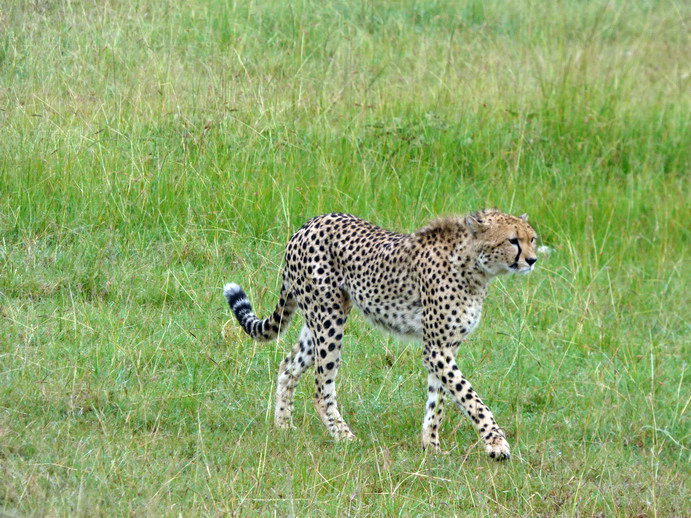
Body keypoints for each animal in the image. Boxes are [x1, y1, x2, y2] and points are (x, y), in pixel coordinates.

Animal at [224, 209, 539, 460]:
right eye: (512, 240)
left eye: (532, 239)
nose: (533, 260)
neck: (474, 267)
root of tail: (308, 224)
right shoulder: (436, 349)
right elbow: (471, 397)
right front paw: (496, 444)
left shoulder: (446, 346)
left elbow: (438, 400)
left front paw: (431, 447)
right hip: (328, 320)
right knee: (321, 386)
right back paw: (344, 437)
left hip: (320, 320)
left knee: (288, 365)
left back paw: (284, 426)